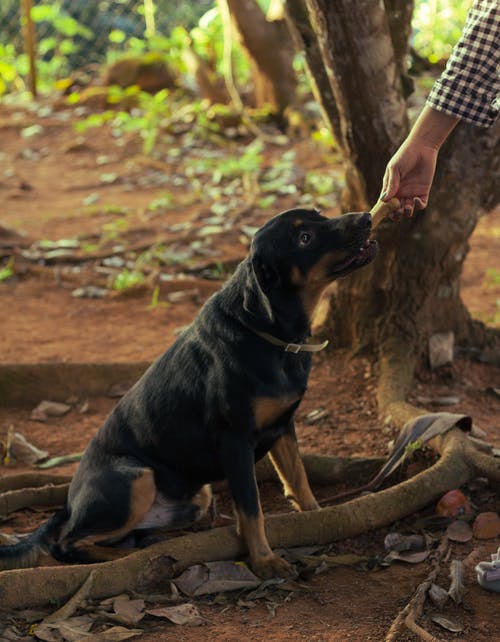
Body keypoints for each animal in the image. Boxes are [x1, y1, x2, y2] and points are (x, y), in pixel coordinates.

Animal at [0, 208, 376, 576]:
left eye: (319, 214)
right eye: (304, 238)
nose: (366, 218)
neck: (270, 335)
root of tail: (69, 503)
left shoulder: (283, 426)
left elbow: (298, 478)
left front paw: (318, 518)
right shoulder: (235, 441)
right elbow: (252, 509)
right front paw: (264, 561)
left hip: (197, 496)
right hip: (135, 478)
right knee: (65, 543)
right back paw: (124, 558)